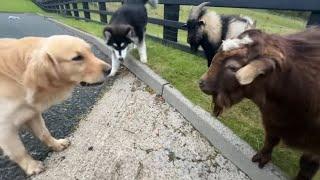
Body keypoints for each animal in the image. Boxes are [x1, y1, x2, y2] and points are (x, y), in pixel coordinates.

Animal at [0, 35, 111, 176]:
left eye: (90, 51)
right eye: (77, 58)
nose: (109, 69)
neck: (20, 75)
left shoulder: (32, 112)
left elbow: (44, 133)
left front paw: (56, 144)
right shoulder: (4, 128)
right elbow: (19, 151)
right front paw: (32, 166)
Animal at [200, 27, 320, 180]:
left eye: (233, 68)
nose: (202, 83)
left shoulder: (315, 146)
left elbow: (307, 165)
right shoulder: (271, 120)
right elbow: (271, 139)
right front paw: (262, 157)